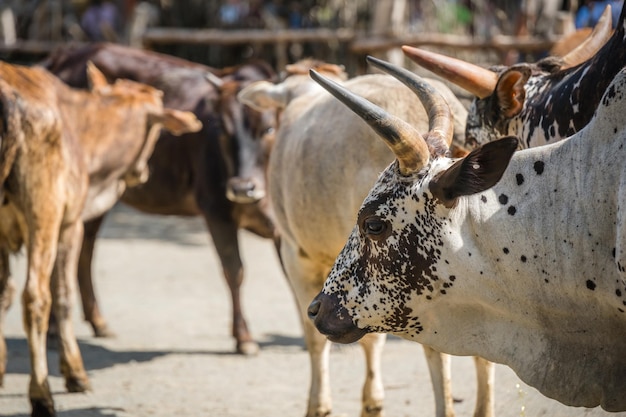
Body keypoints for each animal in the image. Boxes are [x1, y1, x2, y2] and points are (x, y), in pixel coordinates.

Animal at [0, 59, 200, 416]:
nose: (142, 171)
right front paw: (75, 373)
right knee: (36, 297)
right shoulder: (69, 223)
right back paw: (42, 395)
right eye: (156, 129)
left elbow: (3, 293)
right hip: (43, 213)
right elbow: (62, 296)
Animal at [42, 42, 276, 354]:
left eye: (268, 128)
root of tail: (64, 56)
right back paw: (55, 329)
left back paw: (97, 322)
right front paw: (244, 337)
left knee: (84, 250)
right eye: (223, 131)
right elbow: (234, 270)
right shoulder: (215, 209)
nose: (242, 187)